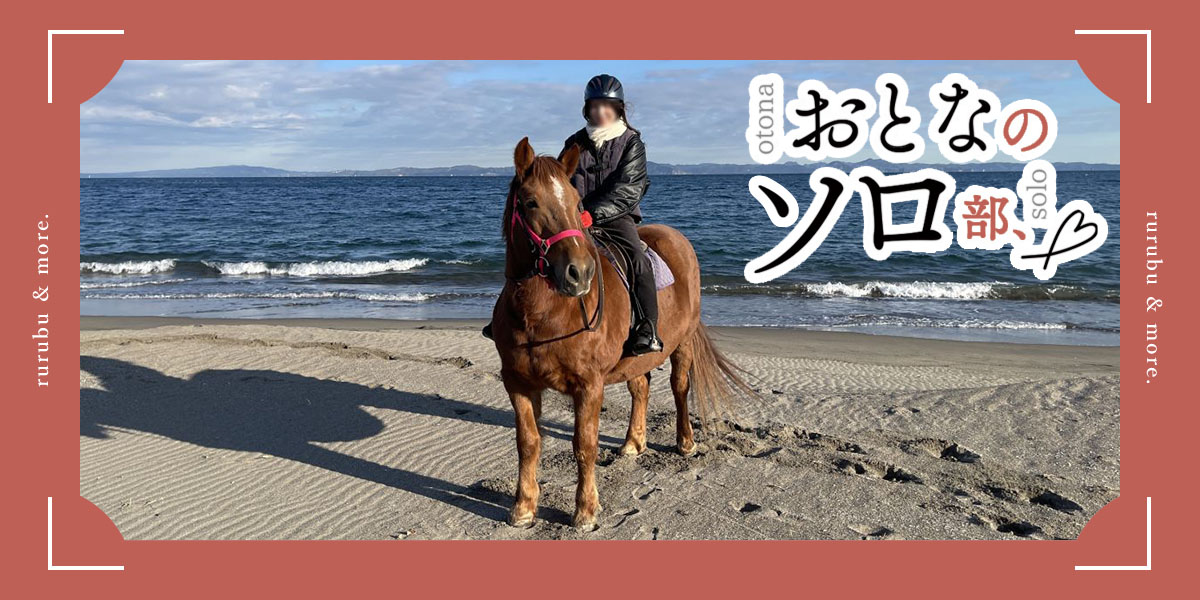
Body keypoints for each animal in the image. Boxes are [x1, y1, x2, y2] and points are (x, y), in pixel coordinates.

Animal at [490, 137, 753, 529]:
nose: (579, 273)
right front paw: (523, 507)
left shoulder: (589, 385)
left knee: (680, 388)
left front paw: (585, 511)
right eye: (530, 201)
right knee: (639, 387)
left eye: (577, 203)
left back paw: (685, 441)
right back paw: (633, 442)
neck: (543, 312)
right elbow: (528, 442)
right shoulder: (518, 382)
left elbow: (584, 445)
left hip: (683, 342)